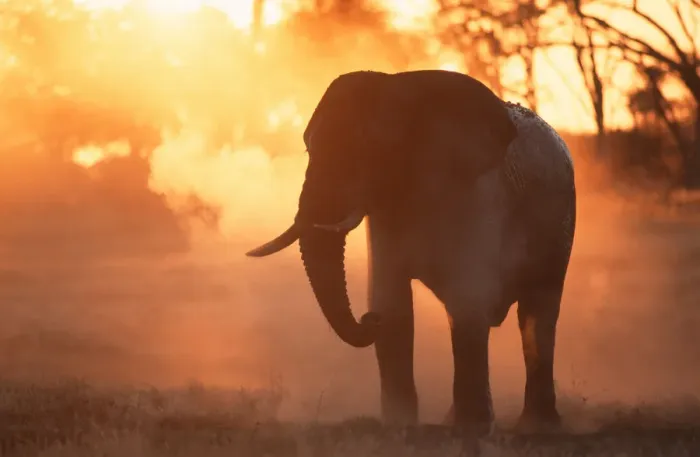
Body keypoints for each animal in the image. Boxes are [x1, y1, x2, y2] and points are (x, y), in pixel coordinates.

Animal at [246, 69, 576, 436]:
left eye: (366, 151)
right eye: (309, 148)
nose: (367, 318)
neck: (405, 89)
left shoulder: (478, 195)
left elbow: (468, 298)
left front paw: (472, 428)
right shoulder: (386, 211)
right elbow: (393, 302)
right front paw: (399, 424)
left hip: (560, 224)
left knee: (537, 314)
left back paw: (538, 427)